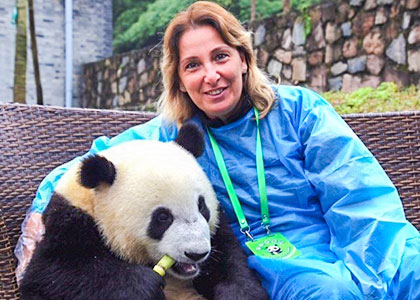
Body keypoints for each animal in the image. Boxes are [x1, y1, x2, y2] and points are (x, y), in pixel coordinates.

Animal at [19, 123, 268, 300]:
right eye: (162, 217)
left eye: (202, 206)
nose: (196, 253)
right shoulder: (71, 221)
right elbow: (52, 275)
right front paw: (145, 284)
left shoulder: (217, 230)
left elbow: (230, 261)